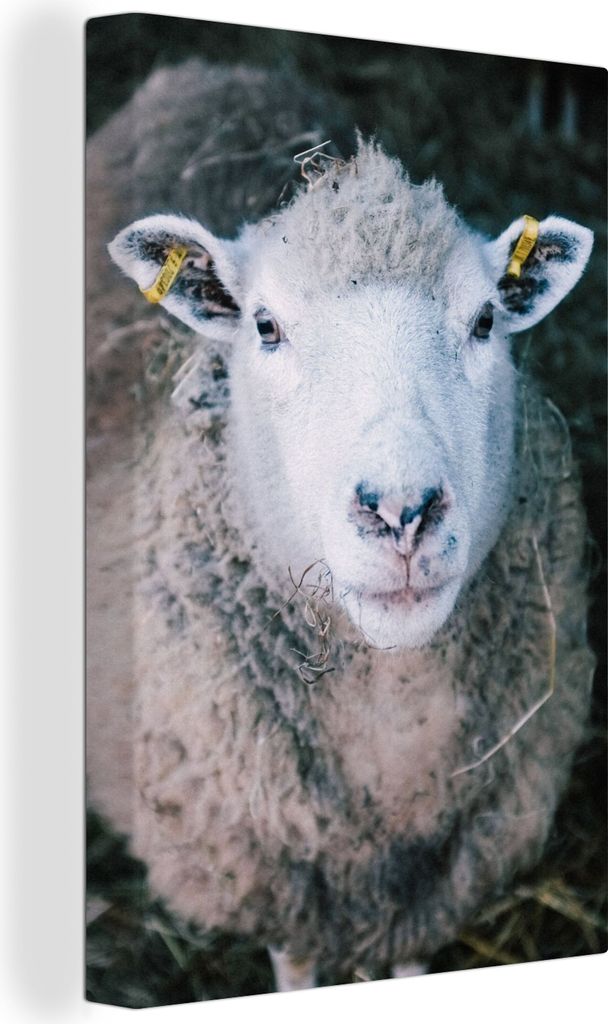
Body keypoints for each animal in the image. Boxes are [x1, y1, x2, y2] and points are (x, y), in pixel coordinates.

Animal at [87, 58, 595, 994]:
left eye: (484, 320)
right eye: (265, 327)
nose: (401, 512)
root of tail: (205, 71)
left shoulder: (438, 885)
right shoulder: (274, 875)